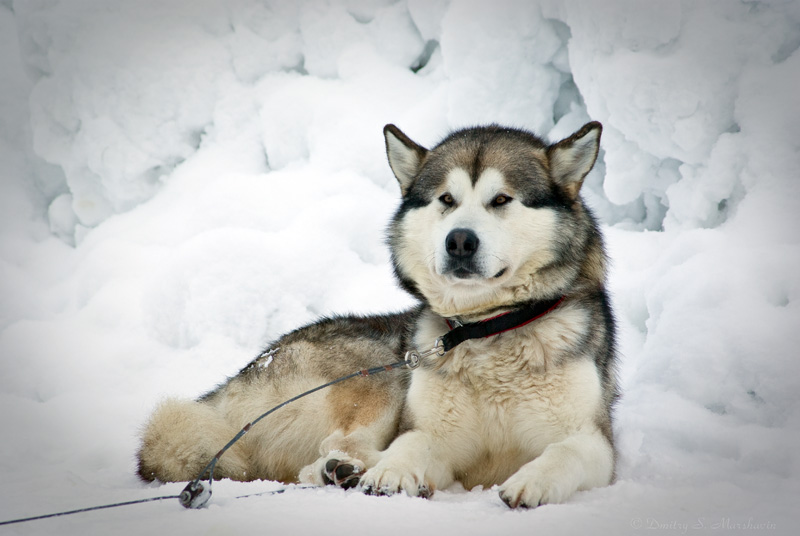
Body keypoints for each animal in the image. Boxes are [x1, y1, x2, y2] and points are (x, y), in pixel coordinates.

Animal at [138, 120, 620, 506]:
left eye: (501, 200)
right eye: (446, 199)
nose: (460, 241)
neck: (487, 330)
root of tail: (233, 384)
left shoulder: (594, 441)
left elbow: (563, 452)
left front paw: (531, 481)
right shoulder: (435, 436)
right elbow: (411, 445)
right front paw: (393, 471)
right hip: (382, 373)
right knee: (334, 445)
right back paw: (345, 471)